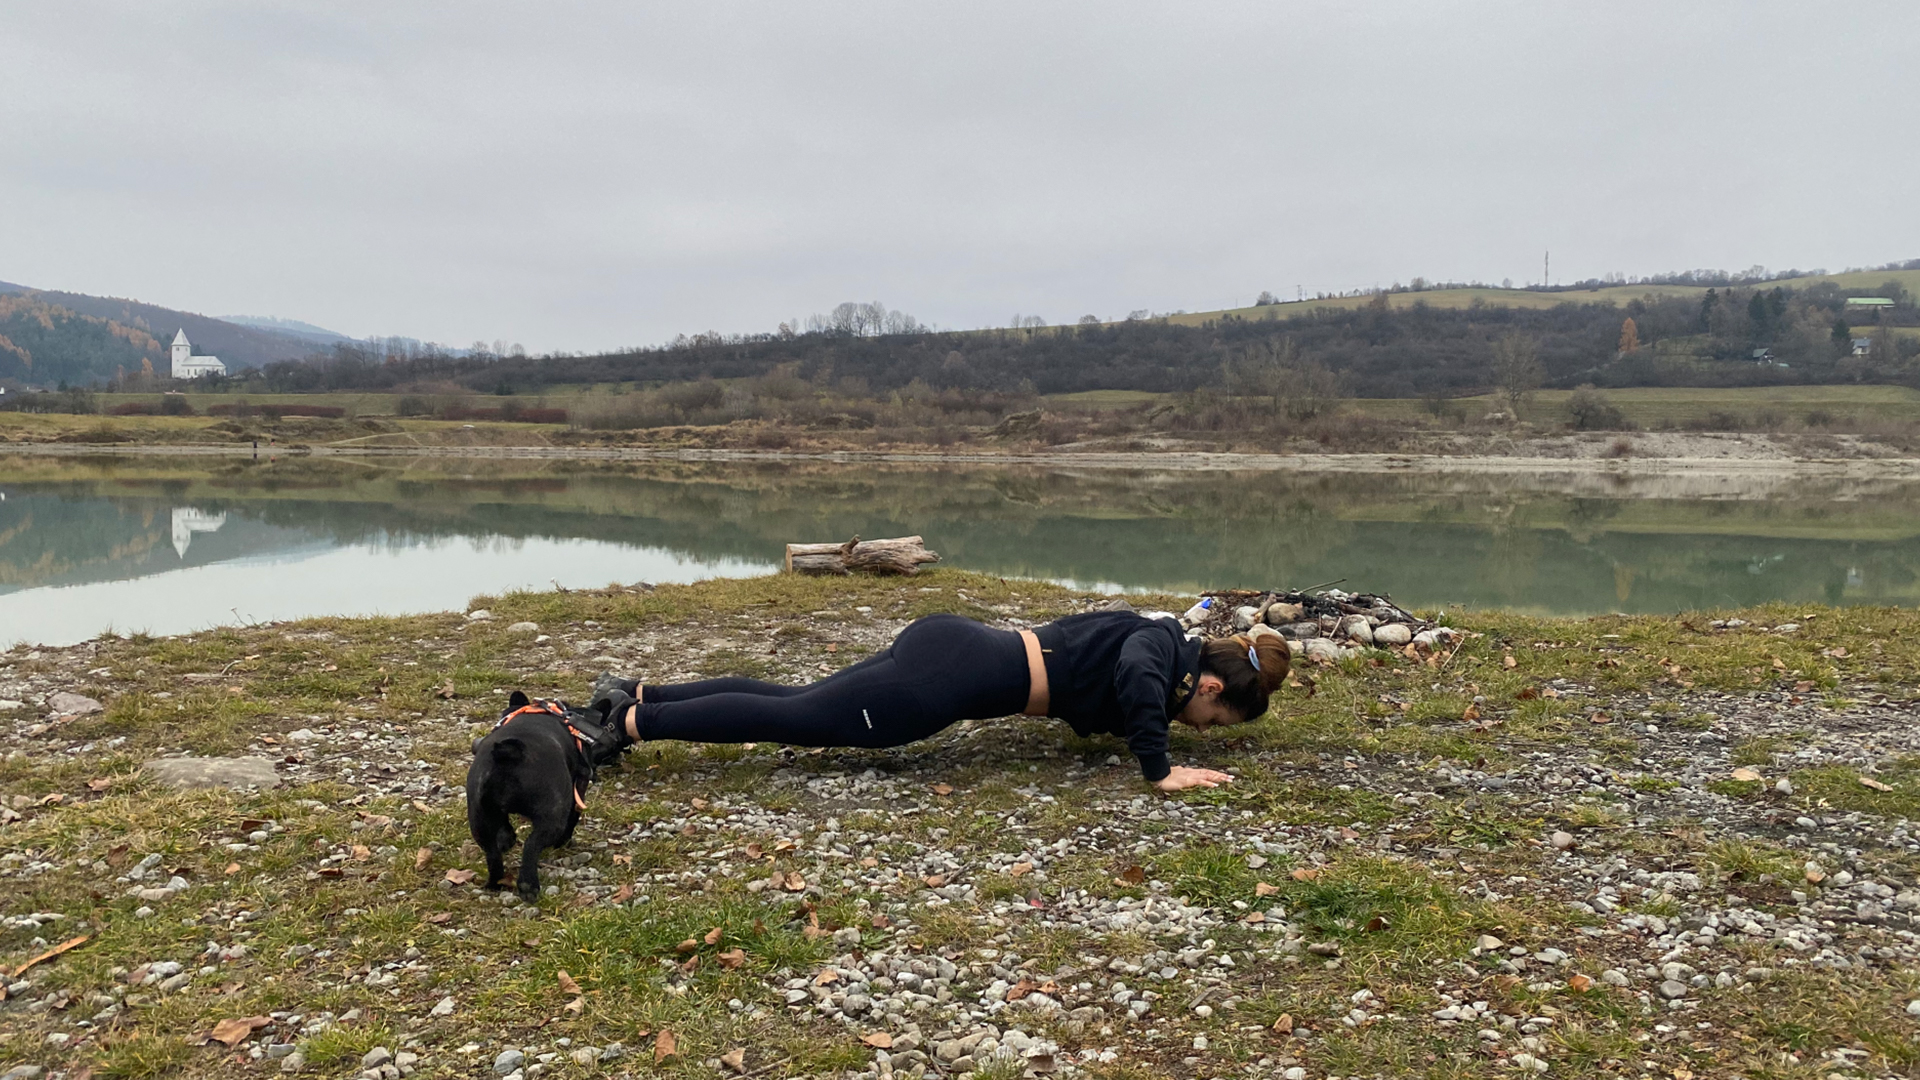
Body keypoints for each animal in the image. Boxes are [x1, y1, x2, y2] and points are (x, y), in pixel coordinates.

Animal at [462, 691, 618, 895]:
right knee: (531, 845)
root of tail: (511, 753)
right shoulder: (579, 788)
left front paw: (507, 838)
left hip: (479, 817)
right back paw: (529, 886)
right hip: (552, 816)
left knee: (492, 853)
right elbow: (573, 818)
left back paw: (494, 883)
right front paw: (563, 842)